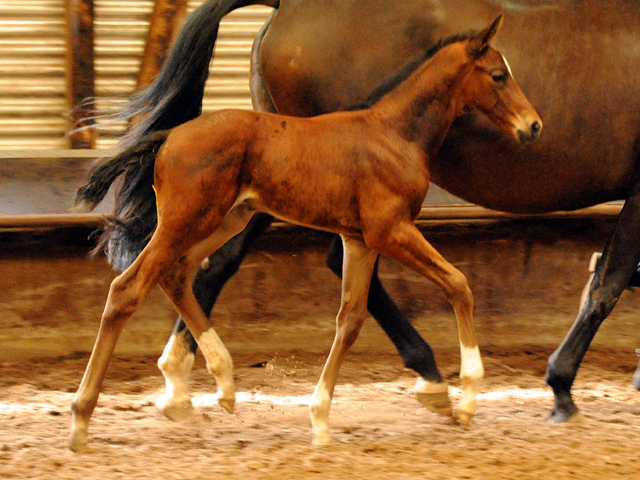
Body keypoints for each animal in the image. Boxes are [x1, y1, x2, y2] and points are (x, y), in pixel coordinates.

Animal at [85, 0, 640, 426]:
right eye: (500, 75)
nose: (534, 125)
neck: (394, 127)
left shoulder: (368, 230)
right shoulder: (388, 227)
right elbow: (599, 282)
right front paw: (557, 389)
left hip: (243, 209)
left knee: (199, 268)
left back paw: (188, 383)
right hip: (230, 211)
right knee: (162, 278)